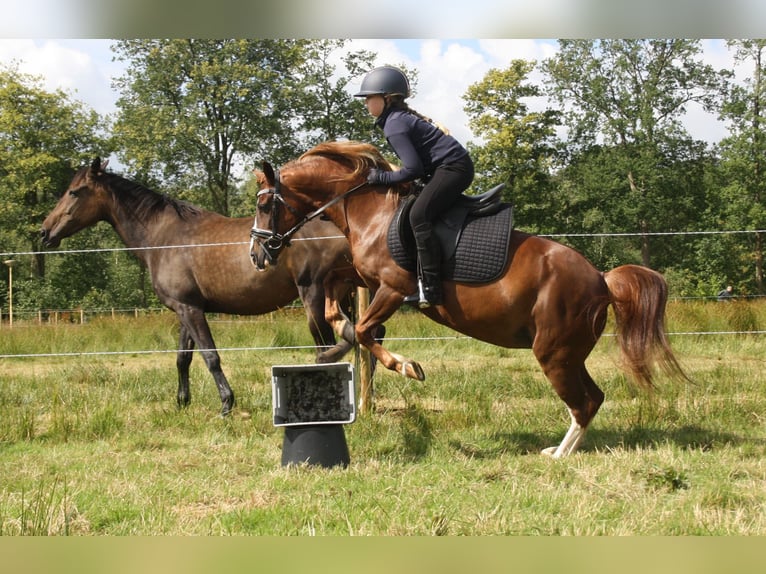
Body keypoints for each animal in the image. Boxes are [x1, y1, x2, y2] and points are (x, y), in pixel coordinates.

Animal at [43, 160, 362, 416]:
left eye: (74, 192)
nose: (45, 232)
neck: (164, 238)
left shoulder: (190, 309)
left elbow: (211, 357)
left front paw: (226, 403)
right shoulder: (186, 308)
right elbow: (183, 358)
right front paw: (182, 402)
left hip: (314, 296)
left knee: (327, 347)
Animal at [252, 142, 688, 462]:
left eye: (262, 205)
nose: (257, 255)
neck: (370, 211)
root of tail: (602, 280)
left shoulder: (393, 286)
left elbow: (364, 330)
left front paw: (406, 366)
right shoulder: (365, 277)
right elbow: (334, 291)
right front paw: (337, 331)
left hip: (554, 354)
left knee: (583, 403)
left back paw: (558, 456)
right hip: (568, 354)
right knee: (592, 398)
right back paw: (560, 449)